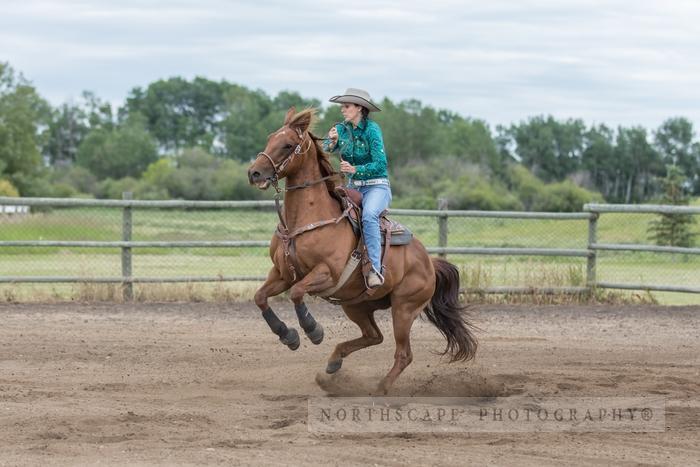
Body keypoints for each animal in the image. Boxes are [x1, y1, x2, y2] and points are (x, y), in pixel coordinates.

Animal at [245, 107, 476, 394]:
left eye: (287, 144)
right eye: (270, 138)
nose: (254, 173)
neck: (305, 219)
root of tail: (429, 263)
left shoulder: (326, 273)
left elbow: (297, 293)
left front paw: (313, 330)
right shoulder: (282, 274)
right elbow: (260, 297)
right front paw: (288, 336)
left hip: (404, 308)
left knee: (403, 354)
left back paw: (380, 388)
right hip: (357, 305)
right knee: (374, 336)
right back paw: (333, 363)